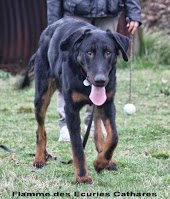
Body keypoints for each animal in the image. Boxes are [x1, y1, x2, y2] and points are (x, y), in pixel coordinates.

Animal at [23, 18, 129, 183]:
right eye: (89, 52)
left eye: (108, 52)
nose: (100, 81)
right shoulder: (71, 110)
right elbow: (78, 146)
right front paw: (82, 176)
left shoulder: (108, 103)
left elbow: (113, 137)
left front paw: (101, 162)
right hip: (41, 97)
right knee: (40, 130)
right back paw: (40, 158)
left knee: (97, 128)